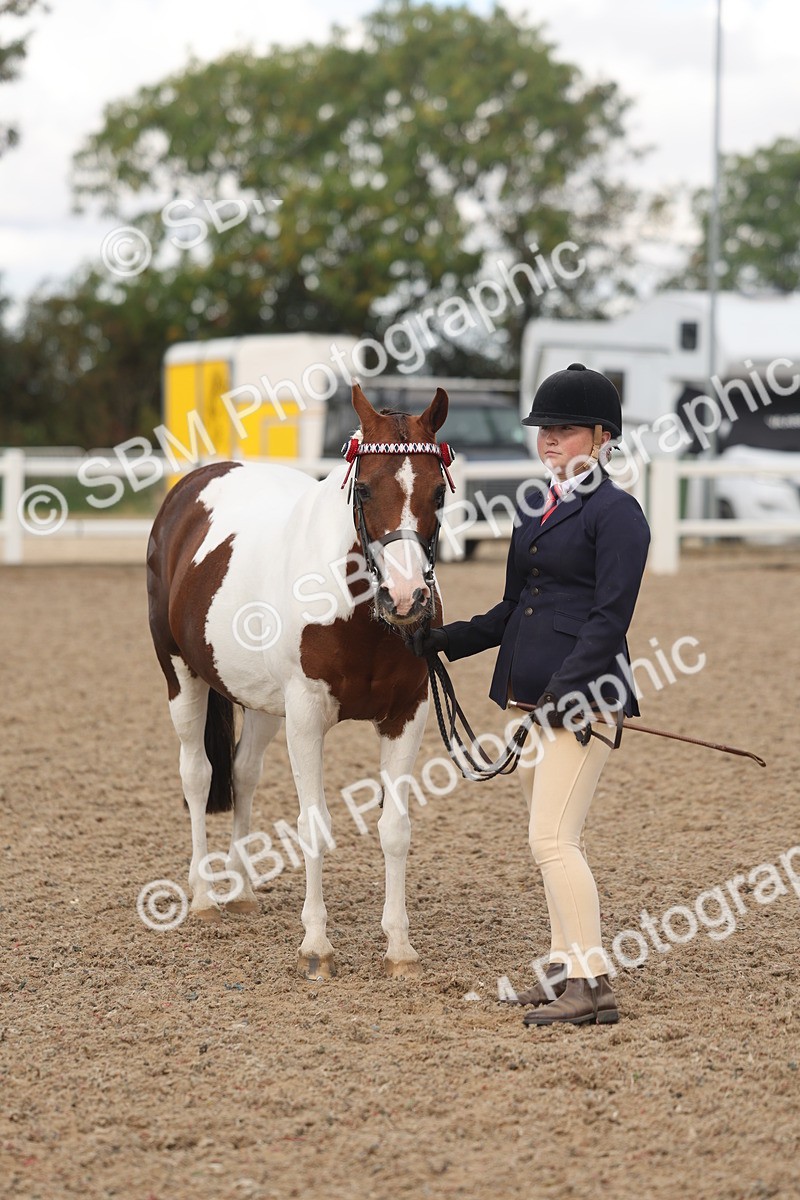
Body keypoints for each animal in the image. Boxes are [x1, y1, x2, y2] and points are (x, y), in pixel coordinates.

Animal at [145, 382, 452, 979]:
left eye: (438, 493)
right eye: (366, 490)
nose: (407, 599)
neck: (356, 609)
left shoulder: (407, 712)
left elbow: (396, 829)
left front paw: (399, 947)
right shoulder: (307, 715)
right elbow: (314, 826)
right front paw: (316, 944)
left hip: (262, 702)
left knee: (243, 773)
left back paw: (240, 890)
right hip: (181, 675)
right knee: (197, 774)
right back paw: (203, 896)